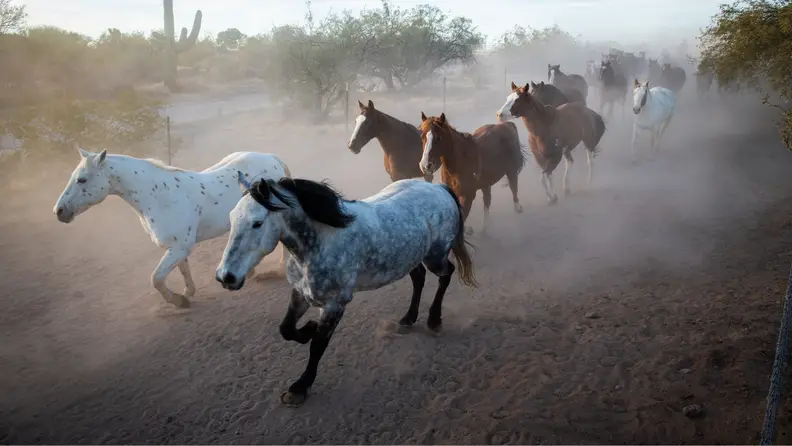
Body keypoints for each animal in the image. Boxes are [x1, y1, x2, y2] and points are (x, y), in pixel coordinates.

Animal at [53, 148, 291, 308]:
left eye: (82, 179)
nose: (59, 211)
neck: (159, 196)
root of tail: (271, 157)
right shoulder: (175, 247)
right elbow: (183, 270)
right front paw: (187, 292)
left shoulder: (179, 247)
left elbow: (156, 278)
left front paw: (178, 301)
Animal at [216, 174, 477, 407]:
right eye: (231, 219)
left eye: (257, 223)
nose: (225, 277)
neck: (321, 242)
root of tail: (441, 188)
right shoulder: (301, 293)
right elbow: (286, 328)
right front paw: (308, 329)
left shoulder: (334, 304)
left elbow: (317, 345)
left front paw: (299, 388)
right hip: (411, 257)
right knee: (419, 278)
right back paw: (408, 319)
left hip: (435, 257)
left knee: (446, 274)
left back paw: (434, 320)